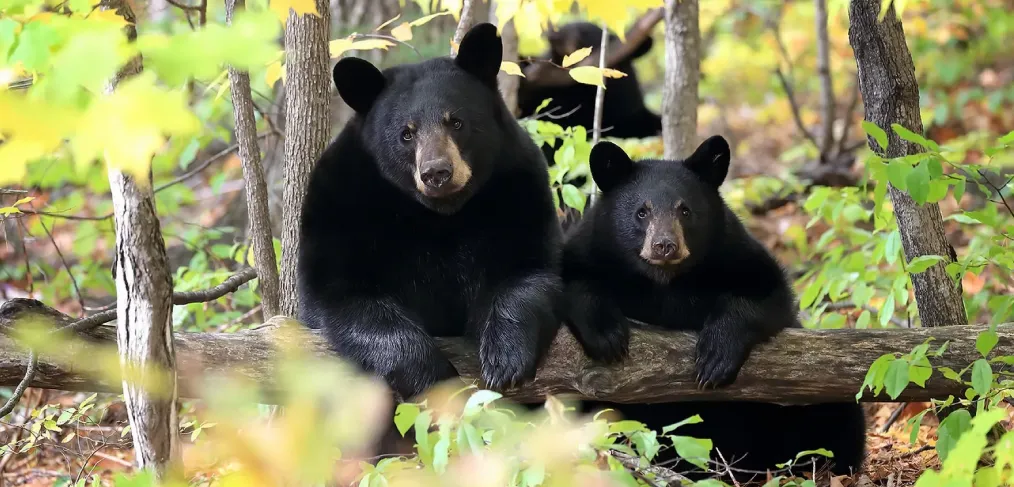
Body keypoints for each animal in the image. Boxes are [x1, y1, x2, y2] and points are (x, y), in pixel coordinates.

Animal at [296, 24, 563, 409]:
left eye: (457, 122)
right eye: (406, 133)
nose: (437, 172)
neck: (439, 216)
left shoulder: (518, 191)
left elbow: (530, 269)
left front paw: (505, 358)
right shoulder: (339, 206)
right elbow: (343, 296)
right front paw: (433, 376)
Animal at [559, 136, 867, 478]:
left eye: (685, 210)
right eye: (641, 212)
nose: (665, 245)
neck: (664, 283)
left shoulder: (733, 253)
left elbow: (766, 295)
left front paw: (714, 358)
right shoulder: (590, 249)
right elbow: (572, 282)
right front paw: (608, 337)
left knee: (838, 412)